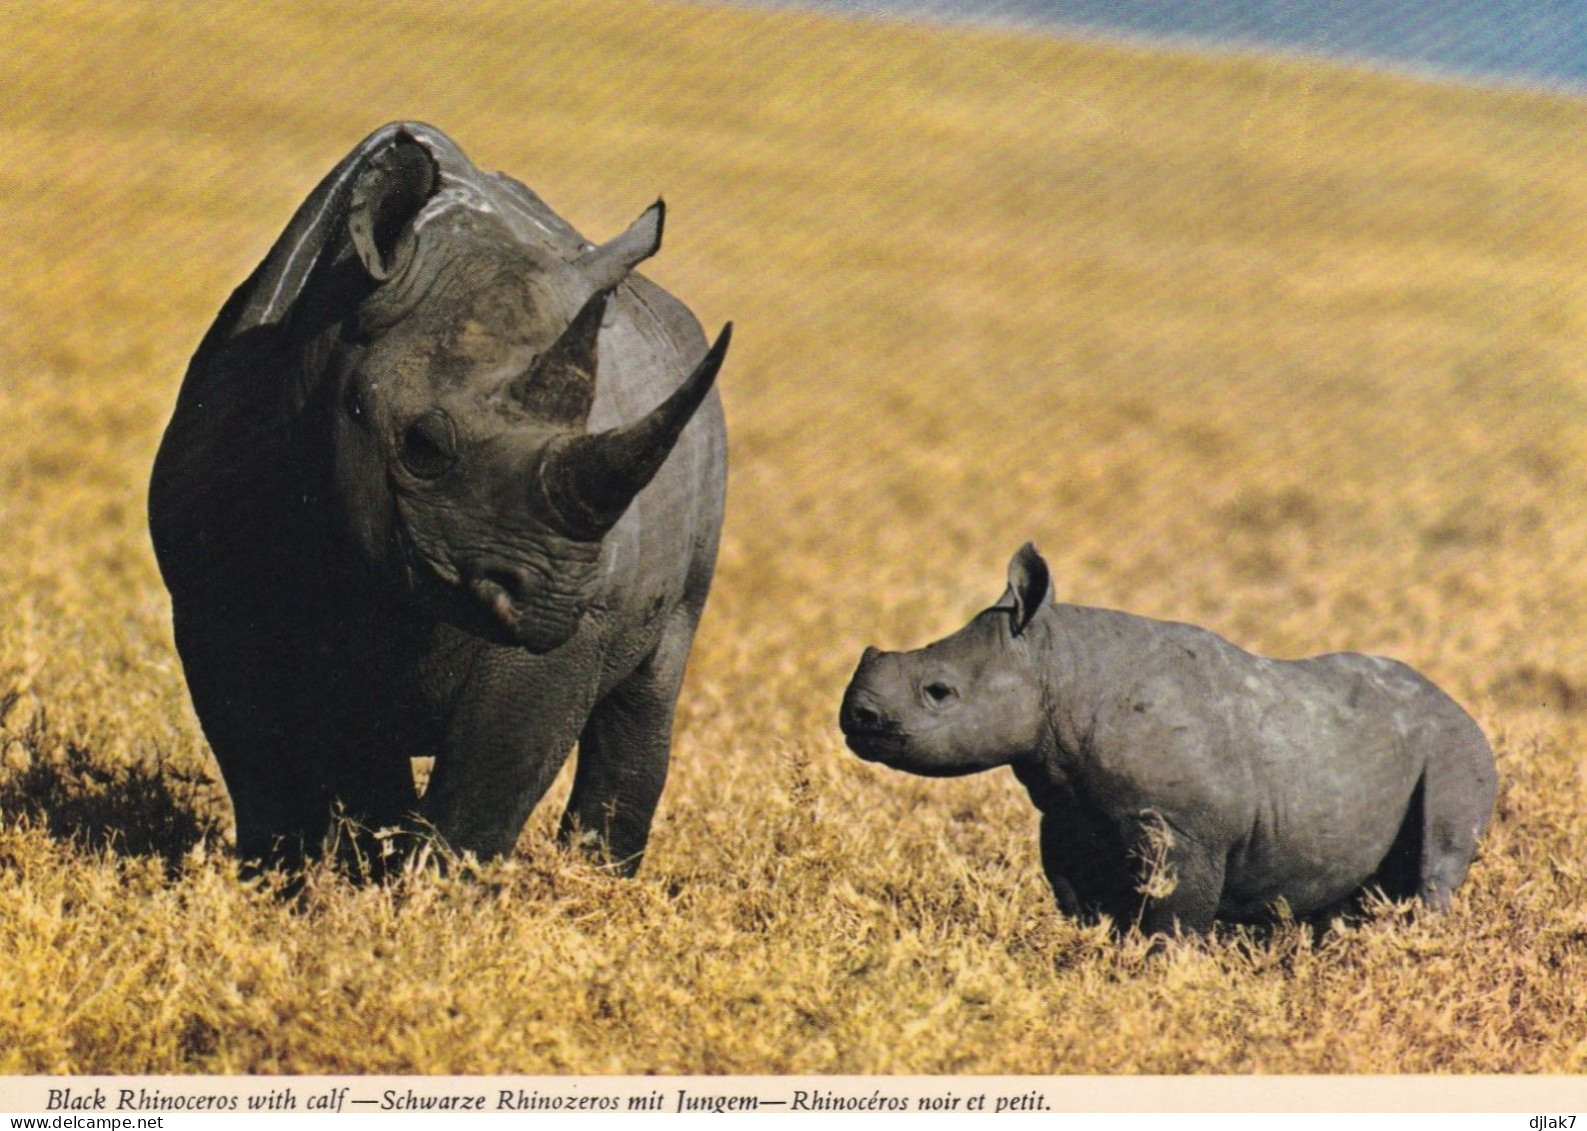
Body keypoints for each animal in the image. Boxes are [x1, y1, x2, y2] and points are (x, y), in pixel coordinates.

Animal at [149, 123, 730, 875]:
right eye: (421, 447)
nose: (552, 598)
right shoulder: (207, 594)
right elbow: (259, 756)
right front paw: (279, 876)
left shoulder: (568, 637)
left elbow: (492, 776)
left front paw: (438, 890)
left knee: (650, 683)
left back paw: (598, 877)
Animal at [844, 542, 1498, 932]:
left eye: (939, 692)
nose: (855, 720)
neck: (1058, 668)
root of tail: (1461, 705)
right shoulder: (1067, 812)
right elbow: (1081, 901)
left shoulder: (1186, 826)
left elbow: (1173, 917)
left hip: (1454, 746)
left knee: (1435, 862)